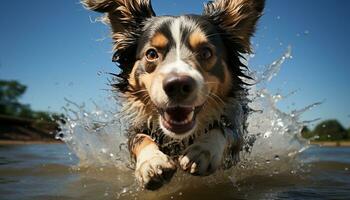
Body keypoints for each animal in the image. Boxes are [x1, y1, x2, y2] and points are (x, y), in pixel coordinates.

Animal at [83, 0, 264, 191]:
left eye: (206, 52)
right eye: (151, 54)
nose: (177, 85)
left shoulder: (236, 124)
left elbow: (225, 130)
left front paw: (203, 150)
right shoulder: (137, 126)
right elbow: (139, 138)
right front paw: (151, 162)